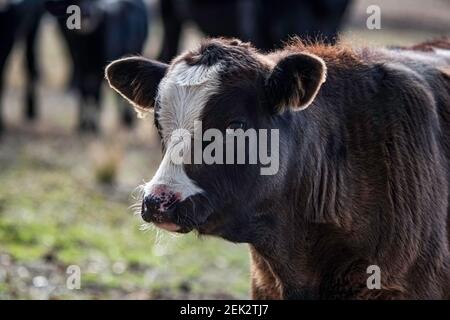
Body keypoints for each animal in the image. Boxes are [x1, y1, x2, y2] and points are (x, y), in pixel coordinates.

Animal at [45, 0, 149, 132]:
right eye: (73, 2)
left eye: (93, 1)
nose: (86, 14)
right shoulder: (78, 66)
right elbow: (83, 91)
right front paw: (82, 124)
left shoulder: (100, 69)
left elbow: (96, 94)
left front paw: (94, 126)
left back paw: (127, 120)